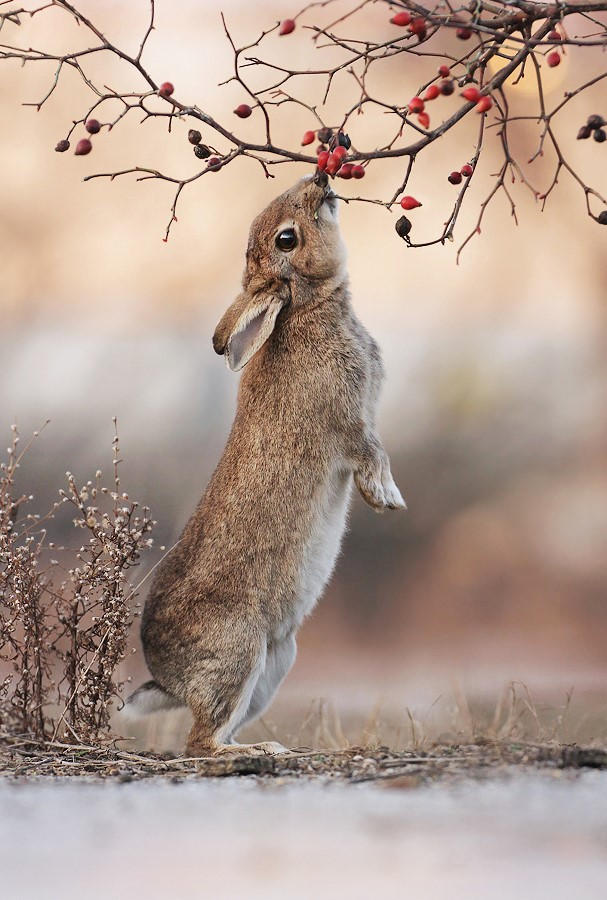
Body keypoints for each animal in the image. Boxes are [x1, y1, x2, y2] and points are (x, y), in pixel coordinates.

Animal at [126, 172, 405, 757]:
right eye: (287, 239)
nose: (320, 179)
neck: (306, 307)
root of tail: (166, 678)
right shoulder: (348, 423)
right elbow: (373, 452)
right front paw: (387, 499)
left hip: (277, 661)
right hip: (240, 651)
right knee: (200, 742)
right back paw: (258, 752)